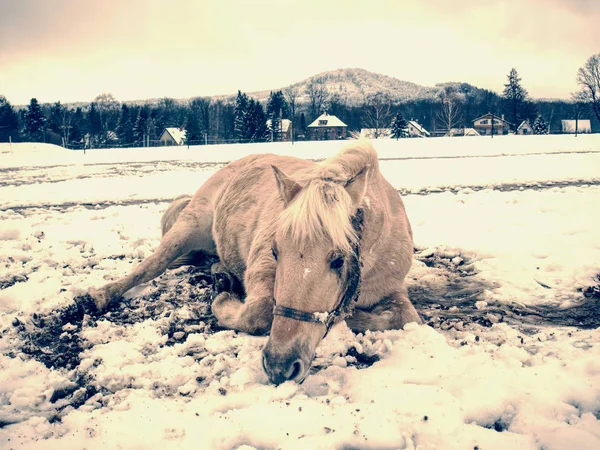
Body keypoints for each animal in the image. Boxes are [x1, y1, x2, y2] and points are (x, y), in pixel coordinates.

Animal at [88, 141, 422, 384]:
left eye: (339, 260)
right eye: (275, 251)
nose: (279, 367)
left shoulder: (392, 289)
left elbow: (405, 317)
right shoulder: (260, 269)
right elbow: (258, 312)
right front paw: (222, 298)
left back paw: (220, 272)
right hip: (189, 226)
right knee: (150, 266)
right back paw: (98, 296)